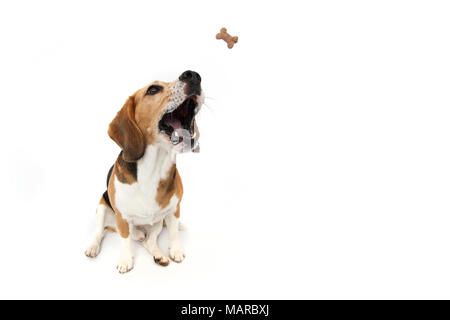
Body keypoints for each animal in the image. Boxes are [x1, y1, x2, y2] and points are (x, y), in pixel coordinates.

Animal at [84, 70, 204, 272]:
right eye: (153, 89)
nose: (193, 75)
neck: (154, 168)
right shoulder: (122, 218)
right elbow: (124, 240)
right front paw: (126, 260)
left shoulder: (174, 210)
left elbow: (173, 233)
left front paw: (176, 250)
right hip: (101, 208)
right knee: (100, 233)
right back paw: (93, 247)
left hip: (156, 222)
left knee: (149, 240)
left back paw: (158, 254)